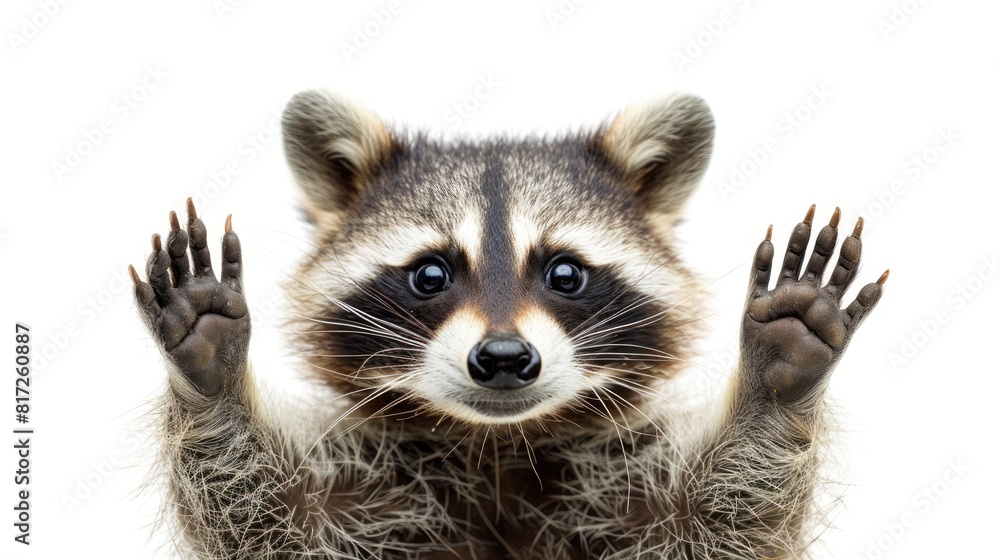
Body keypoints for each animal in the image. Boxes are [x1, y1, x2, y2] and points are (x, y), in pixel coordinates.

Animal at [130, 91, 887, 559]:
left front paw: (776, 378)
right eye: (430, 275)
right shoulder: (365, 492)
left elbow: (721, 521)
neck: (497, 445)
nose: (502, 357)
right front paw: (212, 379)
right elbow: (268, 518)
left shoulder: (623, 491)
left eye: (565, 274)